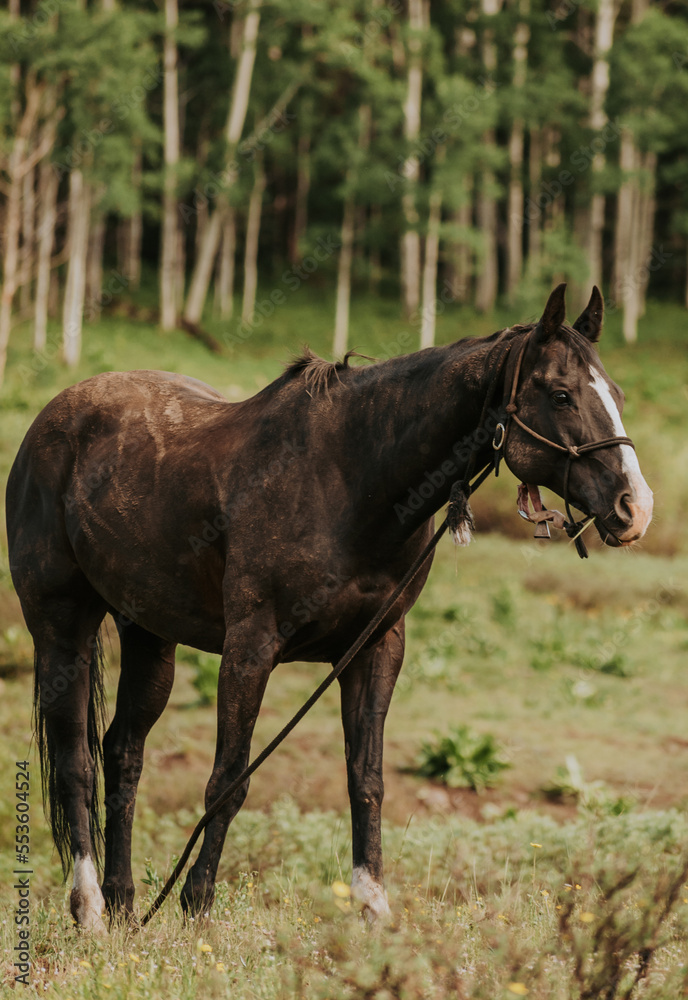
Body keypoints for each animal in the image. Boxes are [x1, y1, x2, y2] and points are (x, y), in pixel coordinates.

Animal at [5, 285, 653, 932]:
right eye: (562, 394)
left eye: (616, 395)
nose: (635, 508)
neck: (349, 478)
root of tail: (49, 422)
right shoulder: (250, 648)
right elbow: (228, 780)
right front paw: (197, 905)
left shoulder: (376, 649)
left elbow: (366, 779)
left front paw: (372, 907)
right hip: (61, 628)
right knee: (75, 763)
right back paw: (91, 909)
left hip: (149, 634)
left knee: (123, 754)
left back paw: (123, 906)